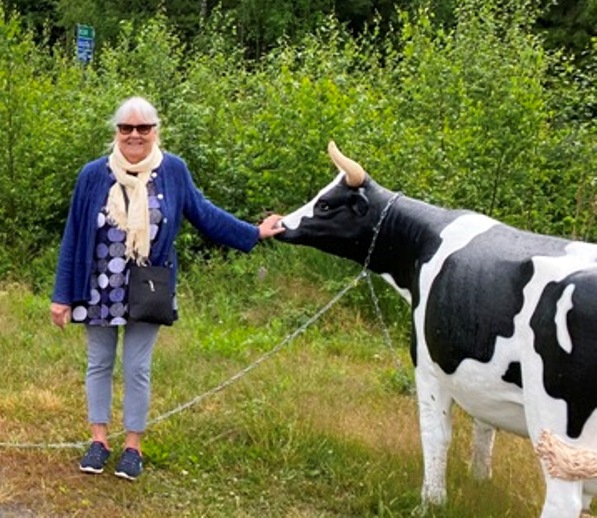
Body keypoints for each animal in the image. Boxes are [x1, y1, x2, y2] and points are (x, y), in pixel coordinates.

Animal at [276, 141, 597, 518]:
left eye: (325, 204)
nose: (279, 225)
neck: (422, 243)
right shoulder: (484, 375)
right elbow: (484, 428)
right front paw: (479, 480)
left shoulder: (427, 364)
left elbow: (435, 433)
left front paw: (431, 499)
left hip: (556, 424)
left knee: (564, 497)